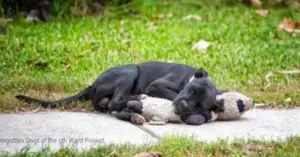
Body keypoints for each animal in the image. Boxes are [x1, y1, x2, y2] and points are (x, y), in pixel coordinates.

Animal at [15, 60, 224, 123]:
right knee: (116, 101)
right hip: (130, 71)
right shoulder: (157, 86)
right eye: (191, 90)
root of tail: (93, 83)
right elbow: (171, 95)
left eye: (198, 104)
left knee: (112, 105)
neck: (187, 78)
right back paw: (139, 99)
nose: (183, 106)